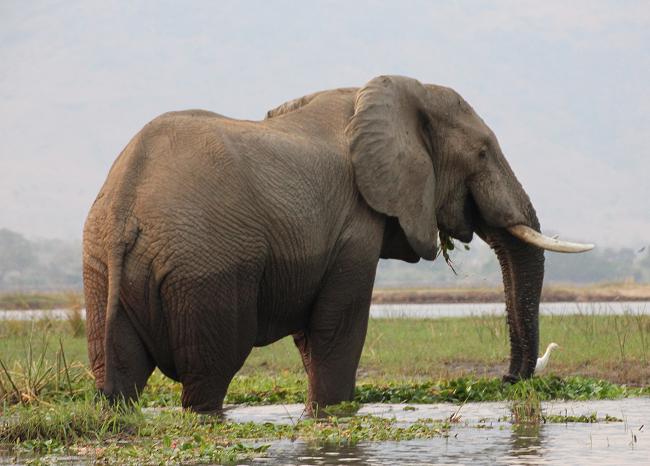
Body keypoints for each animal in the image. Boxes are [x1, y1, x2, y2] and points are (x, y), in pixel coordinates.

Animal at [82, 74, 592, 414]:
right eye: (483, 152)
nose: (507, 380)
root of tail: (125, 204)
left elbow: (312, 335)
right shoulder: (353, 225)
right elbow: (337, 328)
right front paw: (330, 413)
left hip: (102, 269)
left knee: (121, 375)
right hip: (206, 269)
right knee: (210, 373)